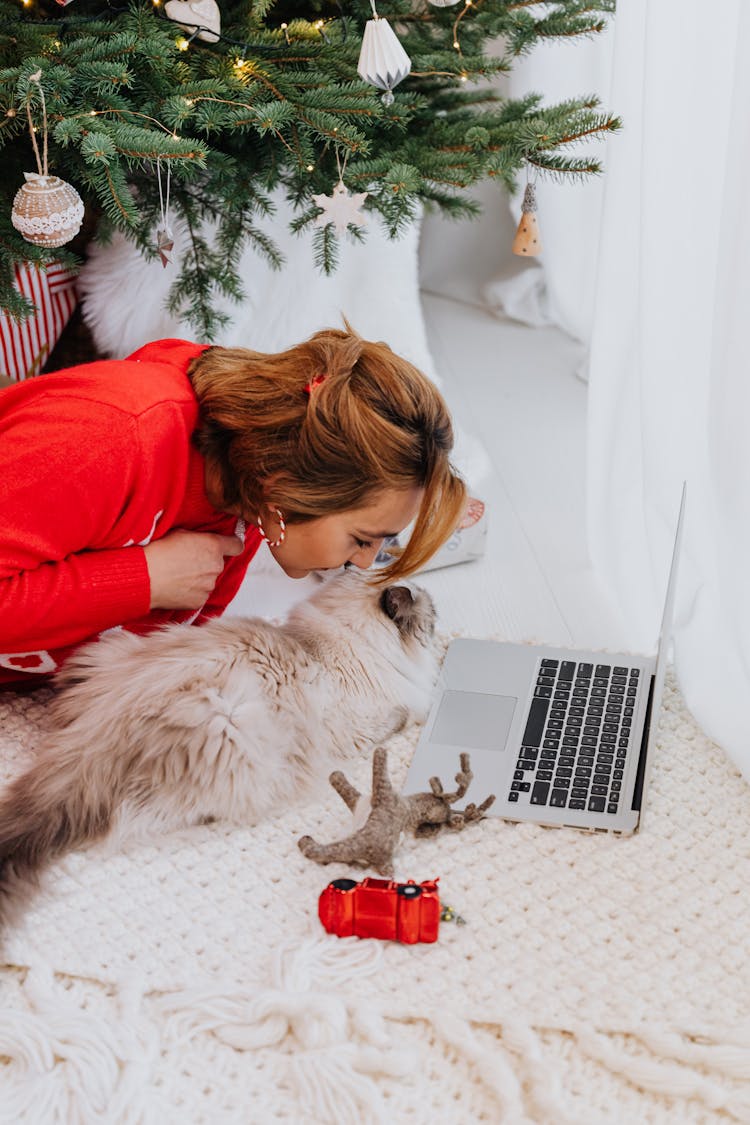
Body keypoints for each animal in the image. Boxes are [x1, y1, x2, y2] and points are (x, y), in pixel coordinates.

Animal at [0, 571, 436, 922]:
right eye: (432, 616)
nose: (438, 616)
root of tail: (89, 744)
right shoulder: (364, 726)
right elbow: (399, 718)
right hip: (233, 726)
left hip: (108, 649)